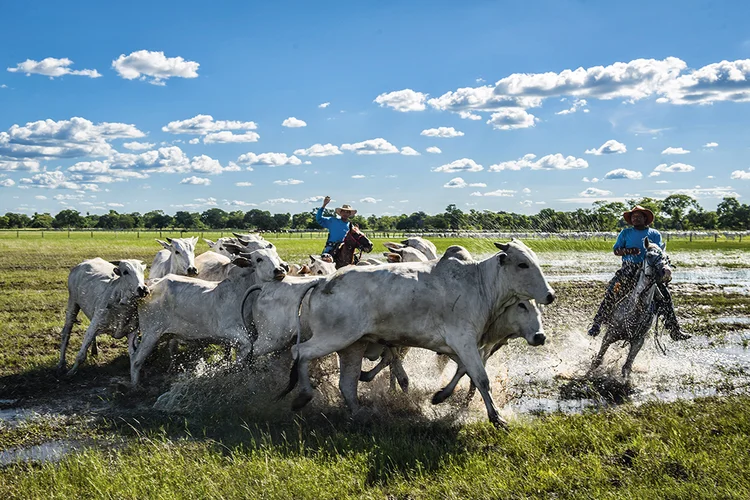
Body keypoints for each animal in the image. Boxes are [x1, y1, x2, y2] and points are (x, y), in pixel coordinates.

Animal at [129, 248, 288, 384]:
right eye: (259, 259)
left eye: (276, 256)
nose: (279, 270)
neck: (242, 293)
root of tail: (150, 287)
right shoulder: (227, 330)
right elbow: (247, 346)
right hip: (151, 333)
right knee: (136, 360)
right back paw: (135, 386)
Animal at [280, 240, 556, 428]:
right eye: (522, 264)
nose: (550, 295)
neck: (479, 284)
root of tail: (322, 282)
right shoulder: (464, 341)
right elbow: (481, 378)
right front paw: (496, 418)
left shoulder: (456, 348)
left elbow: (464, 372)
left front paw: (441, 396)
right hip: (335, 337)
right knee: (300, 351)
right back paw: (303, 396)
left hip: (353, 346)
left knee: (347, 384)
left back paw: (361, 415)